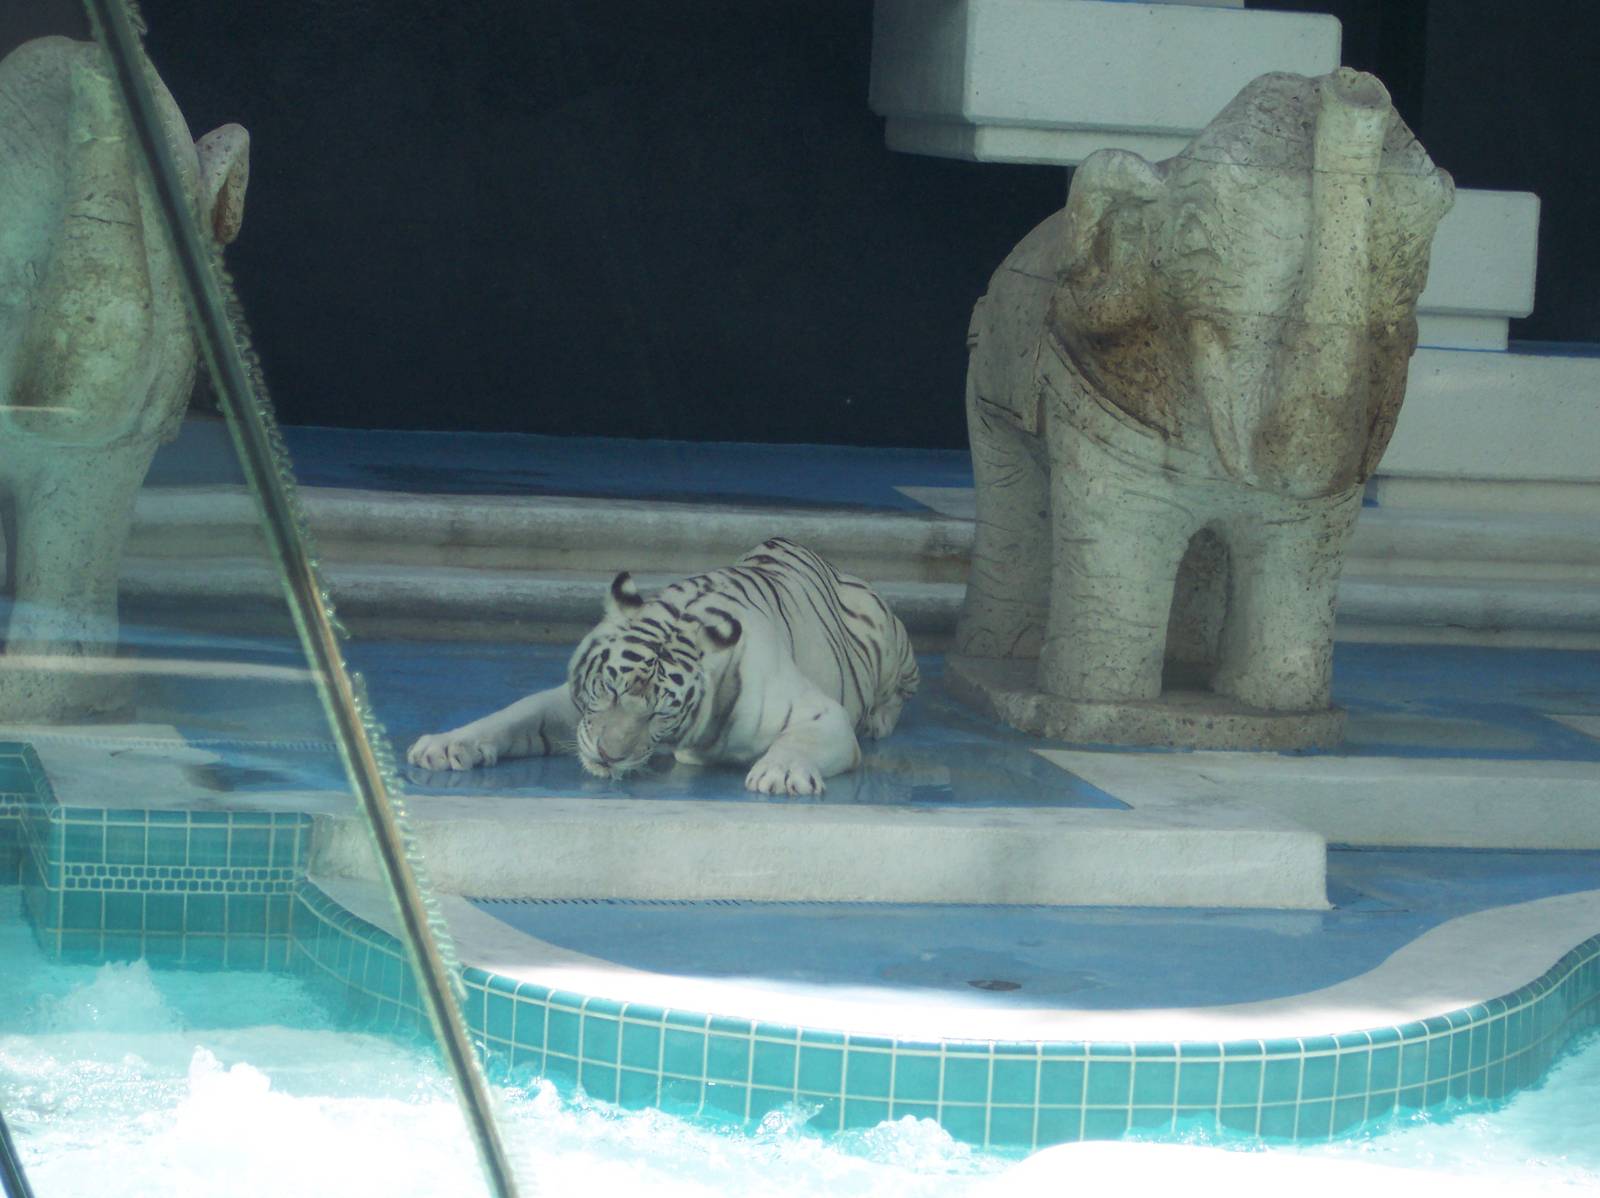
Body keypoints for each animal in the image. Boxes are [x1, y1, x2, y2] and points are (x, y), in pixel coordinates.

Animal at [406, 538, 919, 795]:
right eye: (609, 690)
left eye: (660, 712)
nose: (608, 756)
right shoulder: (574, 709)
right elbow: (512, 715)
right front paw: (444, 745)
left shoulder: (821, 713)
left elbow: (799, 741)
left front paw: (781, 773)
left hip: (889, 634)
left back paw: (879, 719)